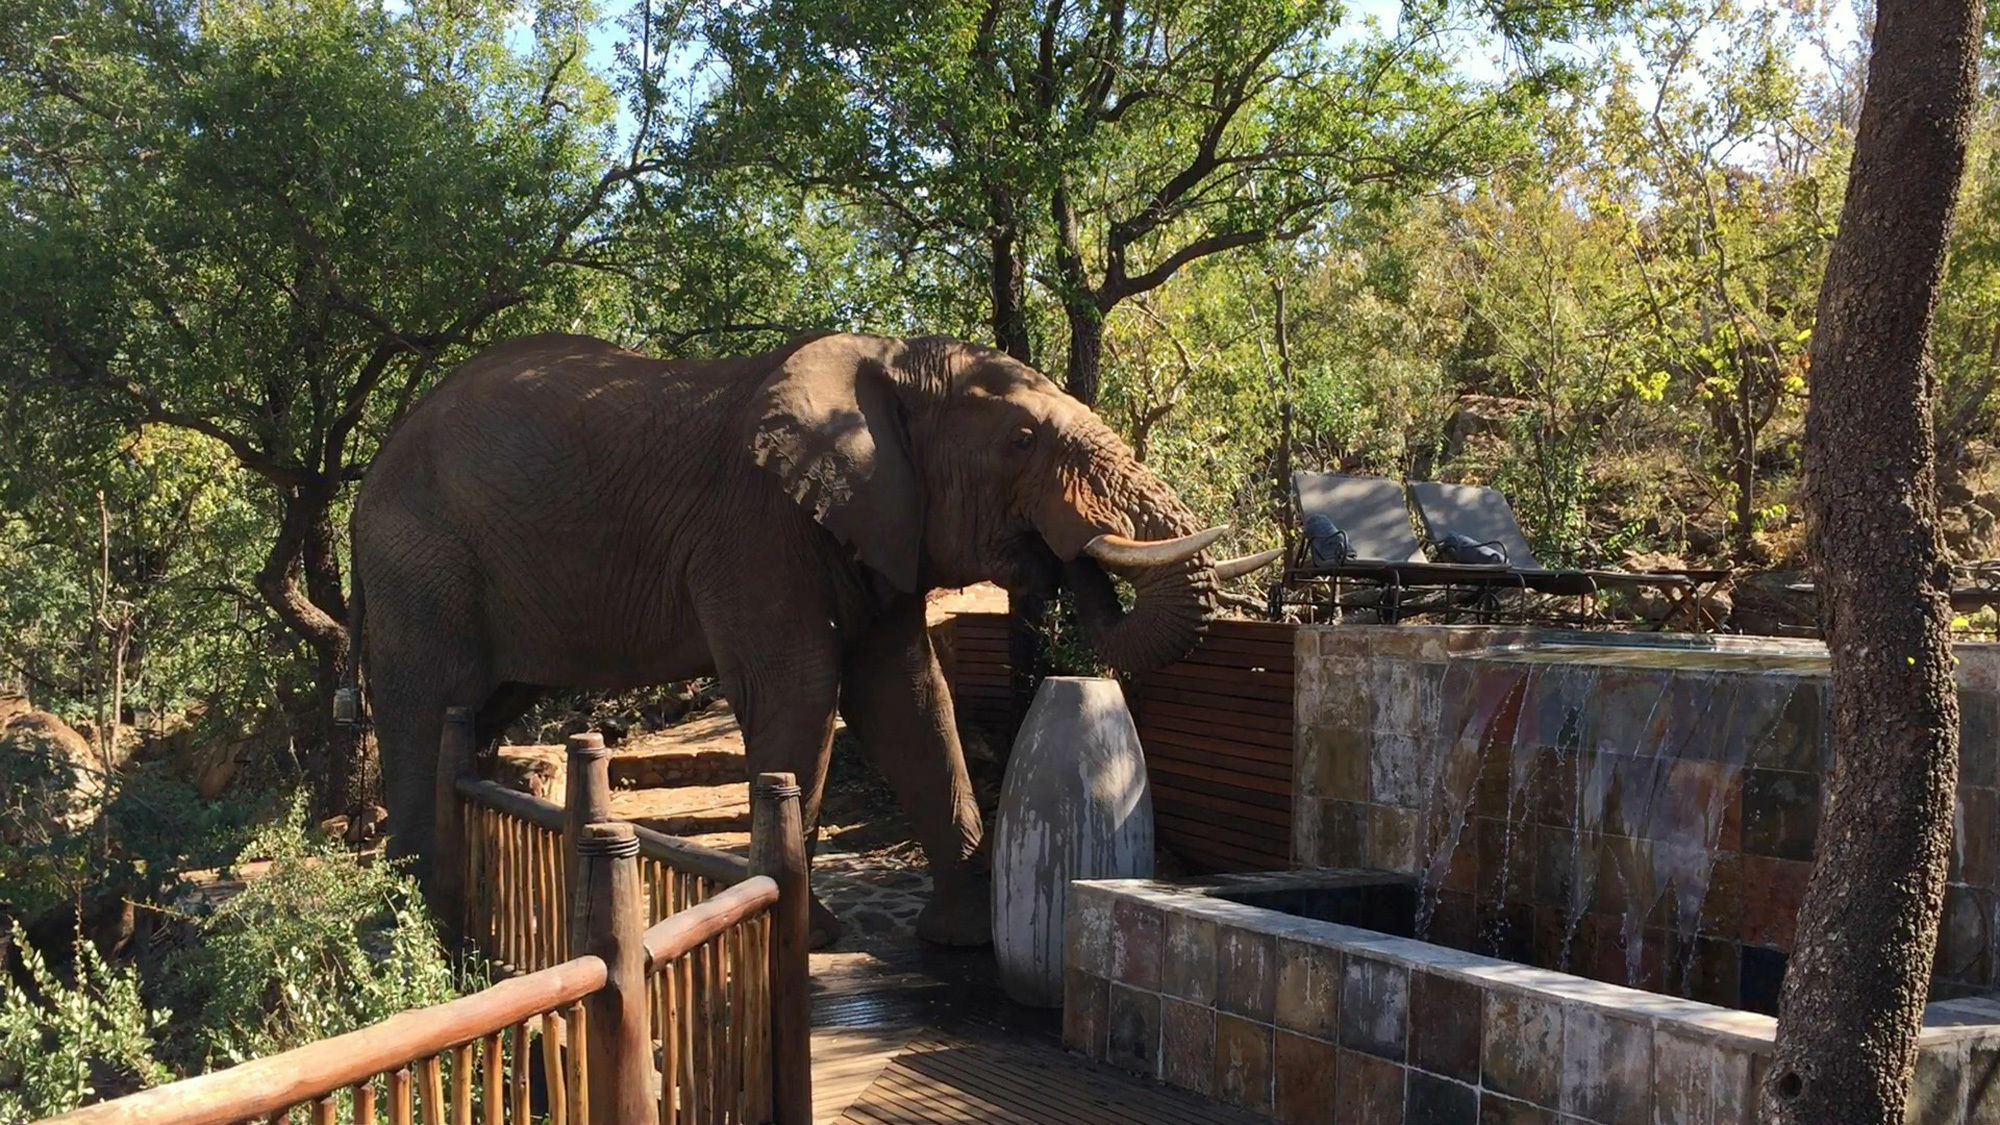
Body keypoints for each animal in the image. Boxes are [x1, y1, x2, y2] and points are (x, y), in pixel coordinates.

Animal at [350, 328, 1272, 940]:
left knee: (475, 717)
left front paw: (964, 932)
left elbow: (910, 699)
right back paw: (412, 916)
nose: (1069, 557)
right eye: (1020, 441)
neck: (885, 363)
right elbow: (799, 690)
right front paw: (811, 935)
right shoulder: (753, 527)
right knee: (424, 712)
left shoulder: (881, 528)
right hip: (418, 563)